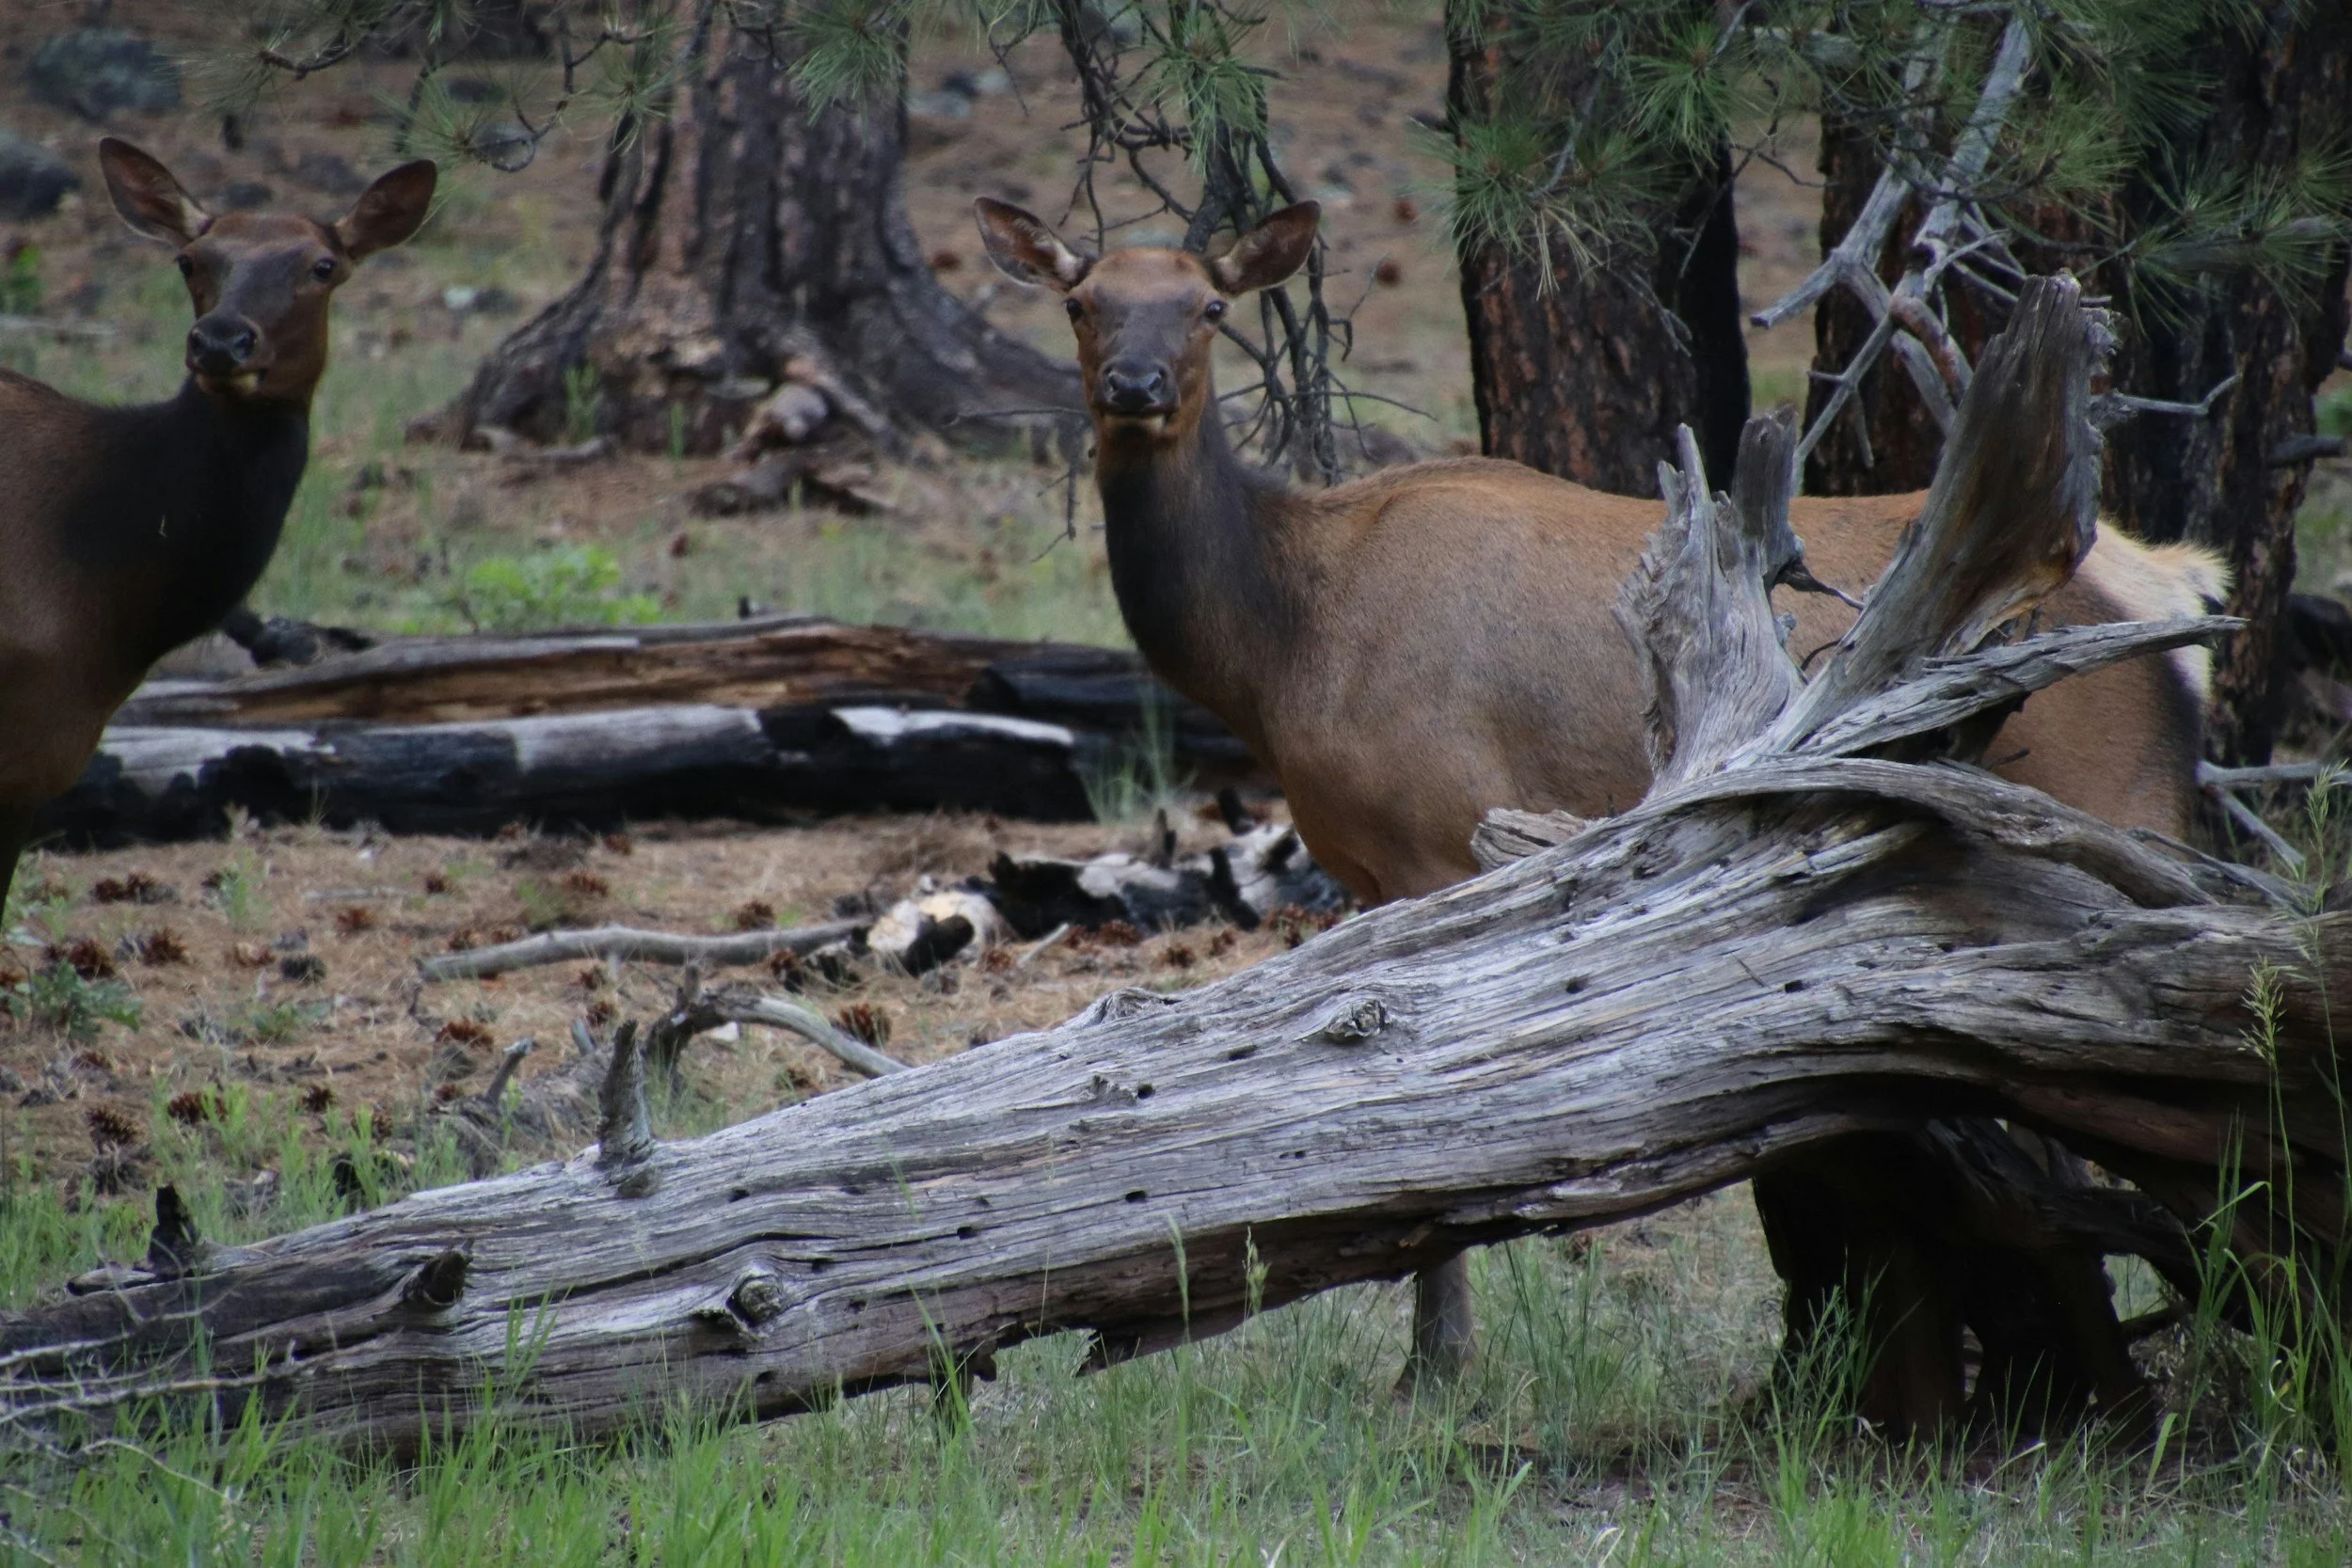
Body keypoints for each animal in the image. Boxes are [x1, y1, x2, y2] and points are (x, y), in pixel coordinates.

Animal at [974, 196, 2226, 1389]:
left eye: (1206, 308)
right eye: (1083, 302)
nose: (1135, 386)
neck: (1277, 652)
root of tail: (2168, 583)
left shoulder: (1437, 835)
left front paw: (1436, 1365)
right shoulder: (1361, 867)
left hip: (2113, 803)